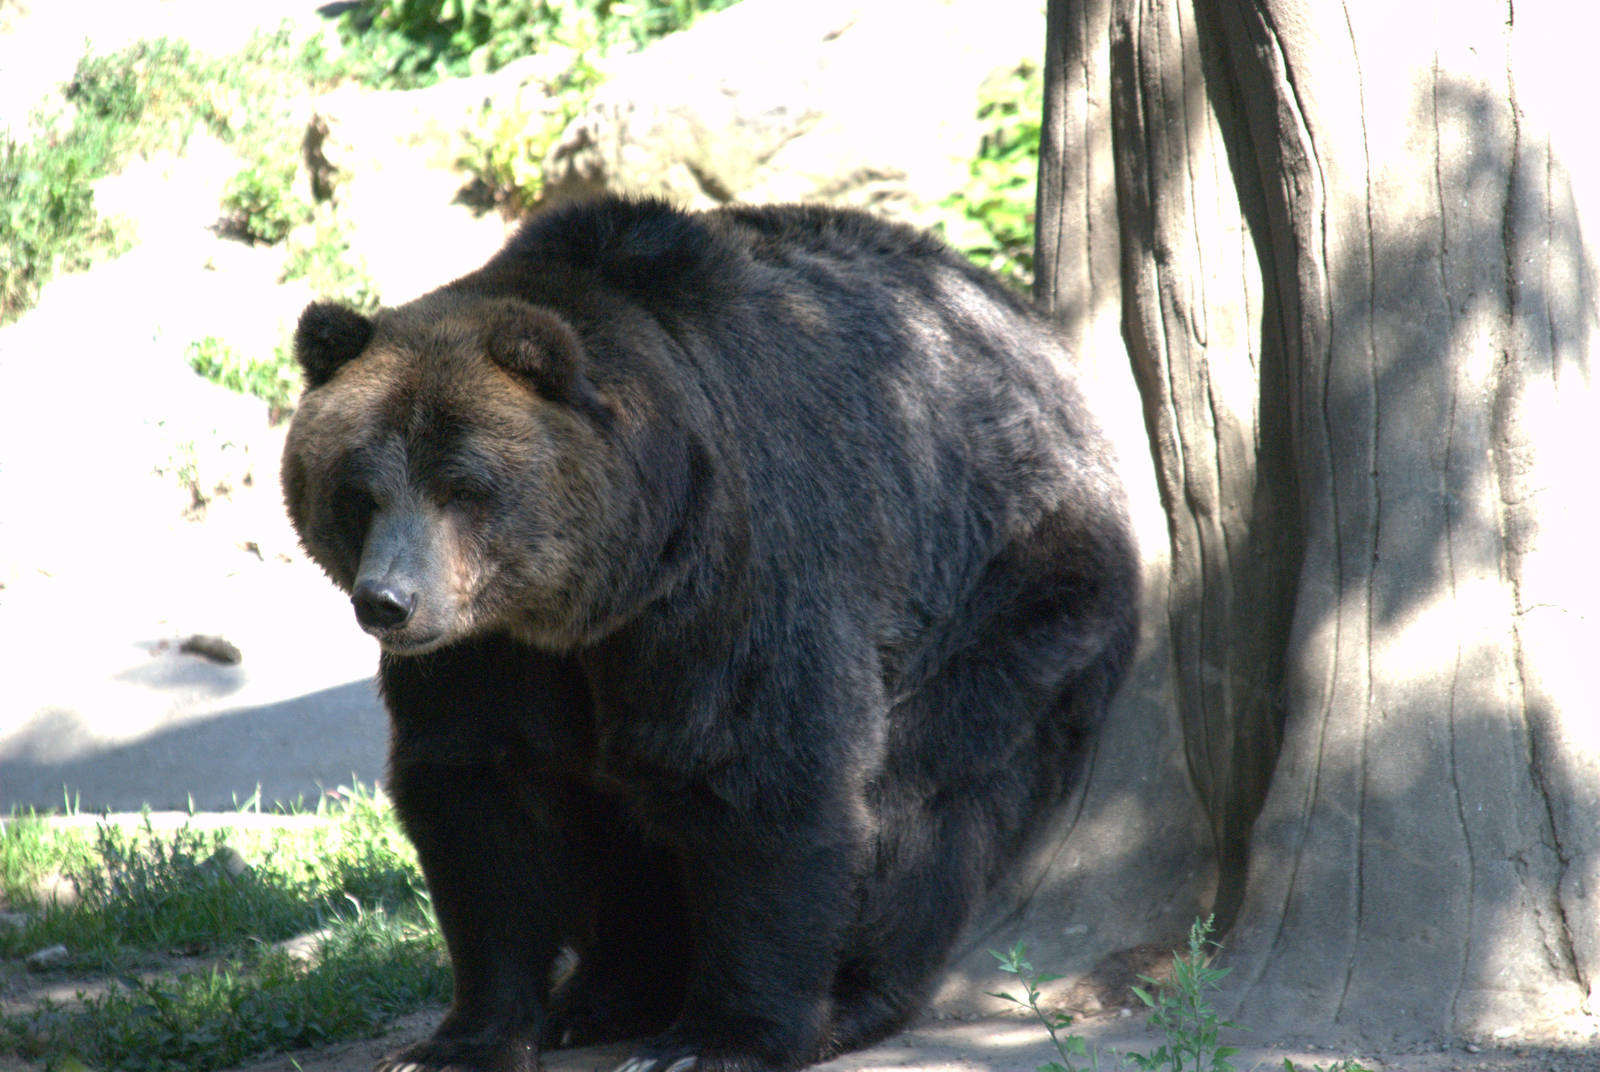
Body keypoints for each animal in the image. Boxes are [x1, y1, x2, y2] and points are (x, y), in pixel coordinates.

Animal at [281, 197, 1139, 1072]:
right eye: (357, 490)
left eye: (462, 487)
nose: (389, 603)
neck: (590, 598)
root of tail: (1040, 338)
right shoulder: (485, 652)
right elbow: (482, 795)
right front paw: (460, 1039)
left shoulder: (730, 569)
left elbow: (758, 771)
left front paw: (713, 1039)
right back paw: (604, 993)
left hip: (1008, 596)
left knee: (921, 805)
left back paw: (850, 995)